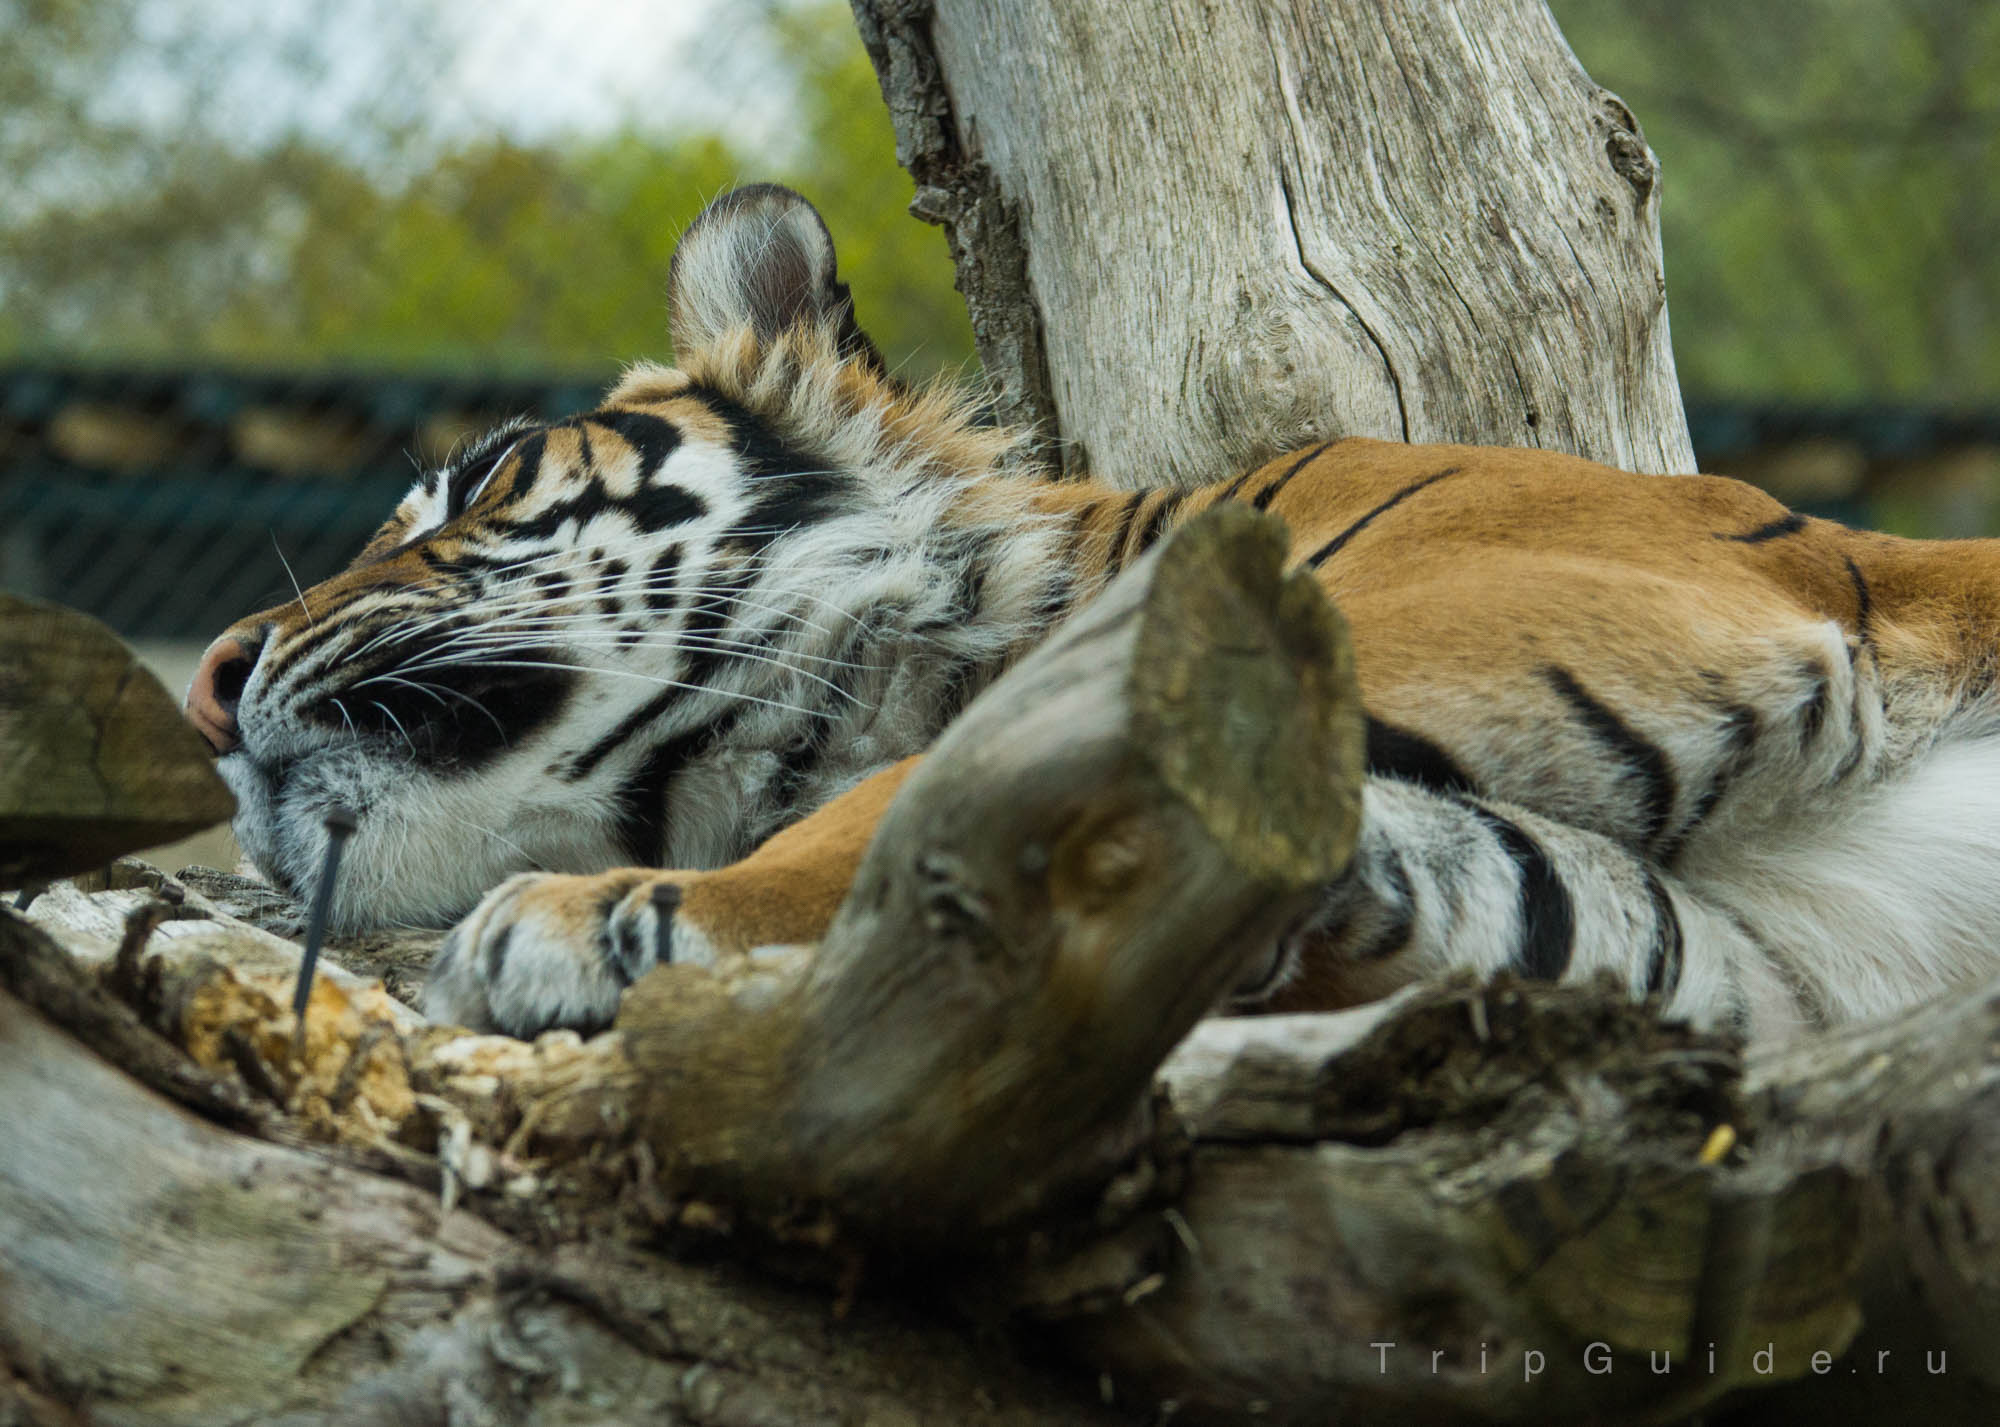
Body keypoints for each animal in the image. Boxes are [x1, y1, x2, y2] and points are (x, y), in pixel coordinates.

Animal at [182, 183, 2000, 1044]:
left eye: (482, 476)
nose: (207, 678)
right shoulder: (1723, 956)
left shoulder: (1522, 579)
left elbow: (913, 792)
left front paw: (587, 917)